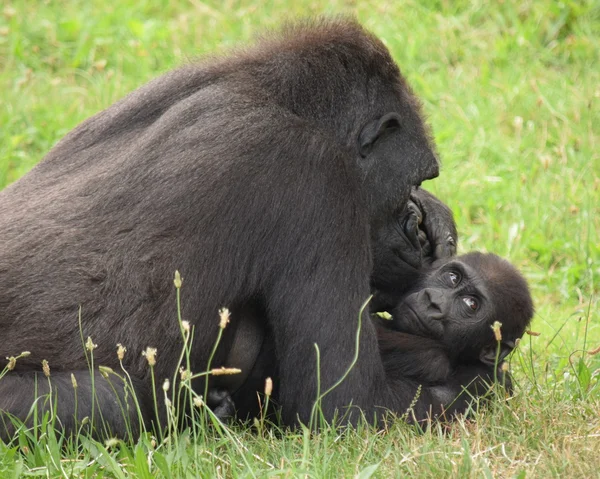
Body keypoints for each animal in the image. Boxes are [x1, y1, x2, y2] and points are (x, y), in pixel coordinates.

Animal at [0, 18, 474, 436]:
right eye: (413, 181)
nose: (415, 230)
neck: (276, 97)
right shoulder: (315, 177)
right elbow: (346, 406)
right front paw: (470, 382)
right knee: (112, 402)